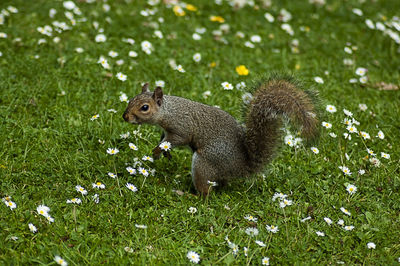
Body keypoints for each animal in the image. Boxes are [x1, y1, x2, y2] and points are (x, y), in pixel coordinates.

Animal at [122, 77, 318, 195]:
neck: (168, 111)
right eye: (131, 100)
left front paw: (156, 151)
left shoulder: (181, 128)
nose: (125, 117)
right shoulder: (166, 131)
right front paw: (164, 151)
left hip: (205, 162)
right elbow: (165, 140)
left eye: (144, 107)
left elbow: (177, 139)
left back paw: (190, 195)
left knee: (205, 191)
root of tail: (242, 166)